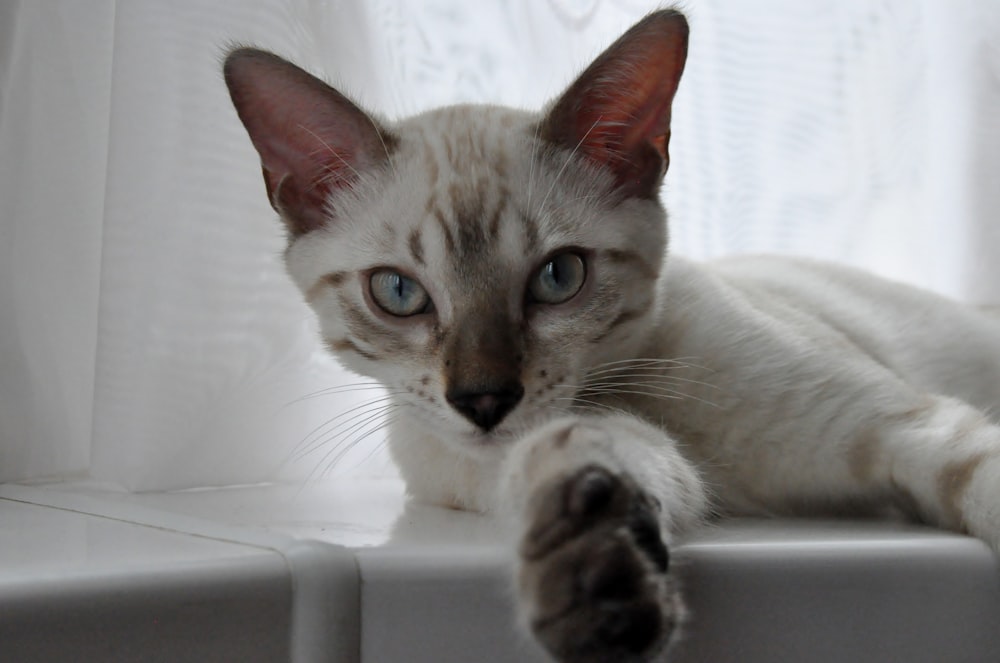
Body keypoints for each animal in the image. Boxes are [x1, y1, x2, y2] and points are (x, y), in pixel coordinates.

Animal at [221, 10, 1000, 663]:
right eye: (399, 293)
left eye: (559, 276)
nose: (483, 400)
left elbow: (978, 480)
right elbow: (581, 457)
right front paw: (596, 584)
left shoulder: (911, 429)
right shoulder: (547, 454)